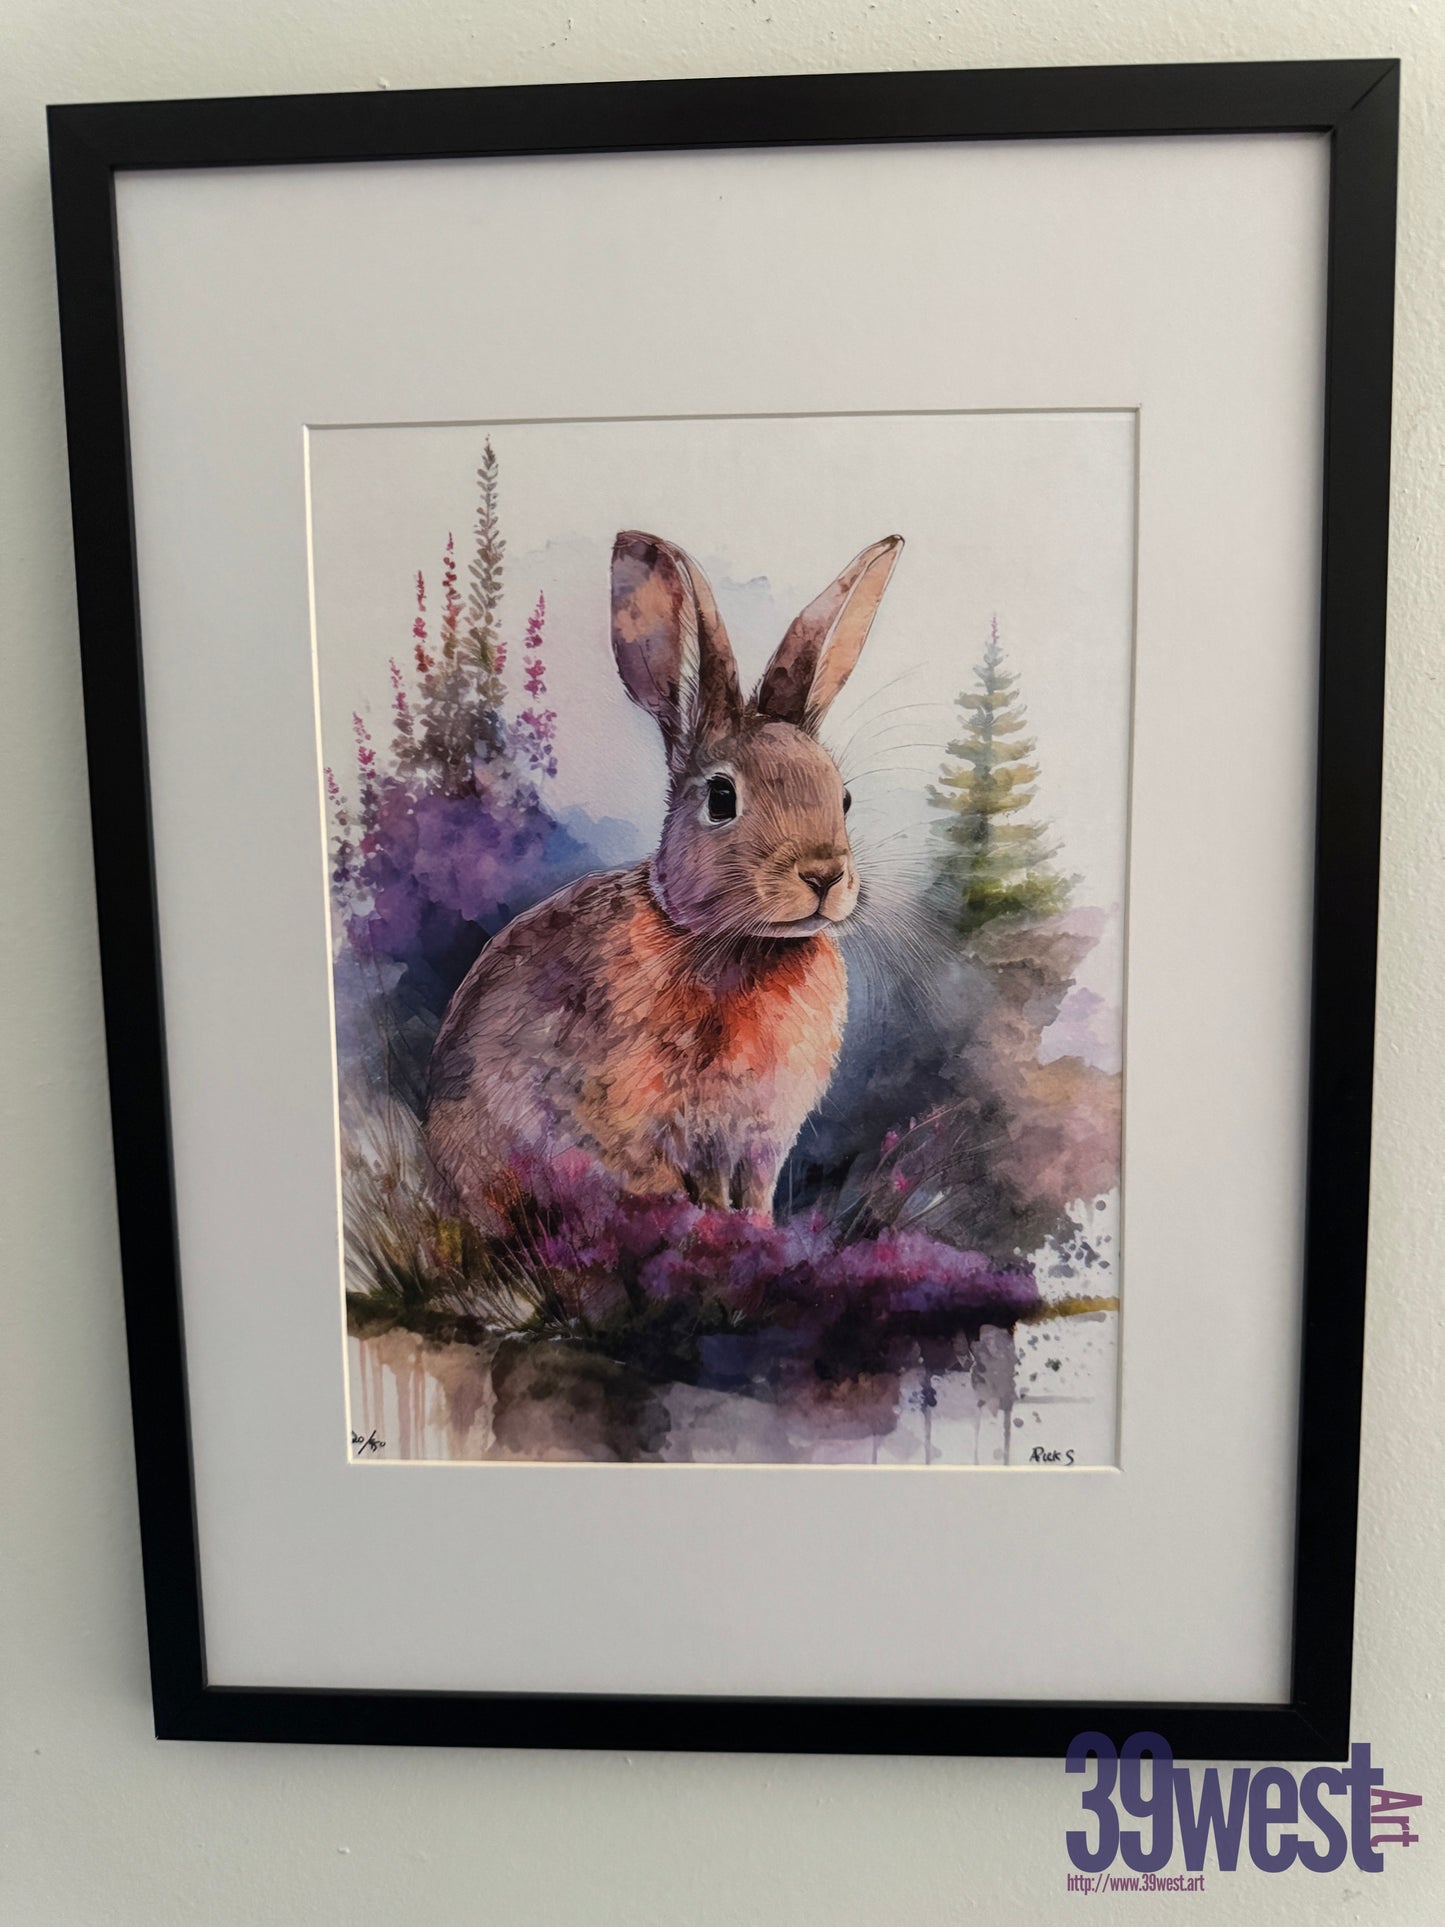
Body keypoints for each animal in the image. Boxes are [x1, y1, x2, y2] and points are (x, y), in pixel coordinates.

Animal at [424, 527, 903, 1228]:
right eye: (723, 798)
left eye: (842, 799)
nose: (823, 874)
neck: (734, 943)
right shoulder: (676, 1125)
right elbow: (701, 1186)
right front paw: (721, 1232)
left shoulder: (759, 1136)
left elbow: (755, 1190)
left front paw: (760, 1231)